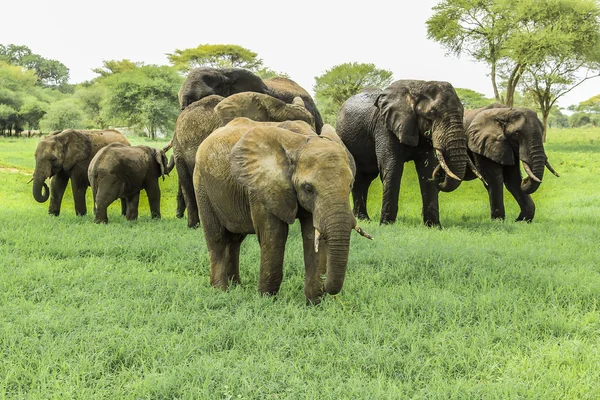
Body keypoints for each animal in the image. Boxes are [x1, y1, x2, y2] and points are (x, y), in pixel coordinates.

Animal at [193, 117, 370, 304]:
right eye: (308, 188)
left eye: (350, 185)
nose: (328, 290)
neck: (302, 140)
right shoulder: (262, 187)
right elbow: (274, 235)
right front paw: (266, 300)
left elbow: (312, 236)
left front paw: (314, 304)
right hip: (202, 184)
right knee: (217, 238)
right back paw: (221, 291)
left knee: (235, 241)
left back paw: (237, 288)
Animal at [338, 79, 482, 227]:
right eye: (432, 113)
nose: (440, 178)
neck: (417, 88)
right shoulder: (384, 127)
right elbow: (392, 169)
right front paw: (387, 225)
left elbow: (426, 170)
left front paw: (434, 227)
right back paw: (362, 219)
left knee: (365, 178)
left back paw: (364, 219)